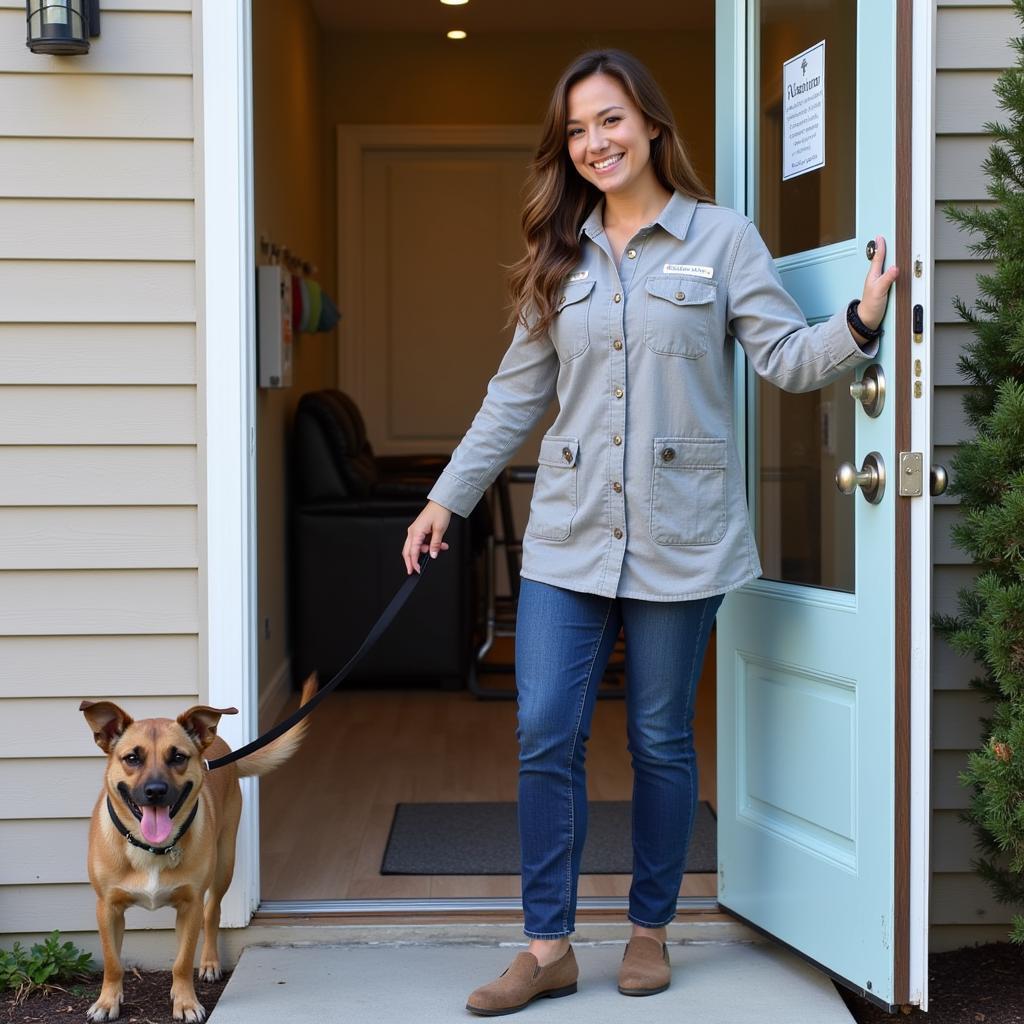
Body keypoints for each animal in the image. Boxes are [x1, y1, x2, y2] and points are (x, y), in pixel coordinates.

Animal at [80, 675, 315, 1019]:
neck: (151, 849)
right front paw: (108, 1001)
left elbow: (182, 961)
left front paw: (186, 1002)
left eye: (177, 757)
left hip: (224, 864)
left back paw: (210, 962)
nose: (155, 791)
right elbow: (112, 962)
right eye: (132, 758)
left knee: (212, 912)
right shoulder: (106, 907)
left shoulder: (189, 906)